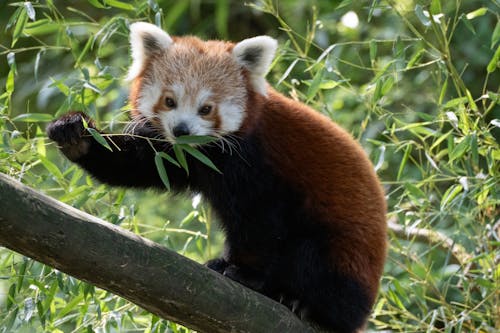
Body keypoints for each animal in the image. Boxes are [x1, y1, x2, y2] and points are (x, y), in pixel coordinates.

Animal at [47, 22, 388, 332]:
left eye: (206, 108)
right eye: (169, 101)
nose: (182, 130)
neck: (210, 151)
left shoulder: (258, 164)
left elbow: (260, 223)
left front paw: (245, 274)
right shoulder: (181, 155)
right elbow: (140, 163)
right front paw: (77, 134)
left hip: (343, 258)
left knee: (311, 260)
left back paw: (303, 303)